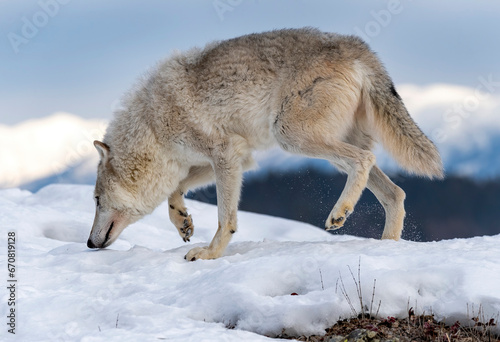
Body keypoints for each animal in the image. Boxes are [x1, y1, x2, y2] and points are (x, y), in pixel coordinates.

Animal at [86, 28, 442, 260]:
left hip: (292, 136)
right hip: (323, 145)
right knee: (395, 193)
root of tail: (355, 47)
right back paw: (386, 249)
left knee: (364, 160)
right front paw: (183, 222)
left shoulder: (225, 155)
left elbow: (225, 218)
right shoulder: (236, 158)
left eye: (96, 199)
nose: (88, 243)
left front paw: (210, 254)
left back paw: (339, 214)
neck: (152, 126)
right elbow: (175, 190)